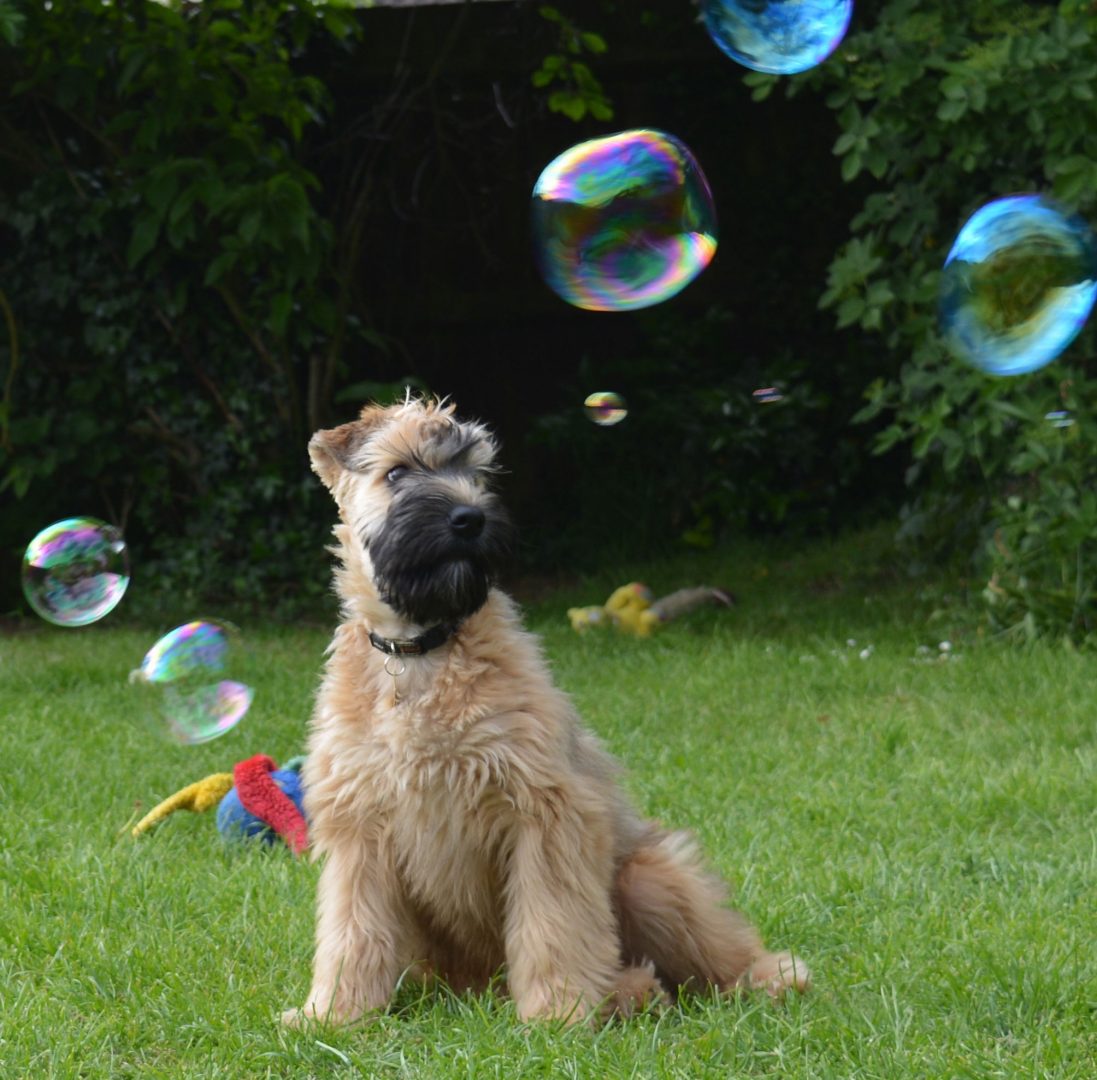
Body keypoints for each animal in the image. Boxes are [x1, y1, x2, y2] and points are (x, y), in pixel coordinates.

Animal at [283, 399, 807, 1026]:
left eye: (476, 470)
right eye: (397, 472)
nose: (470, 519)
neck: (422, 653)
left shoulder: (546, 813)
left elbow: (553, 924)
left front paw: (558, 1012)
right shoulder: (360, 832)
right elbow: (353, 932)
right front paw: (334, 1014)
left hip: (650, 882)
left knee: (713, 954)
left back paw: (752, 979)